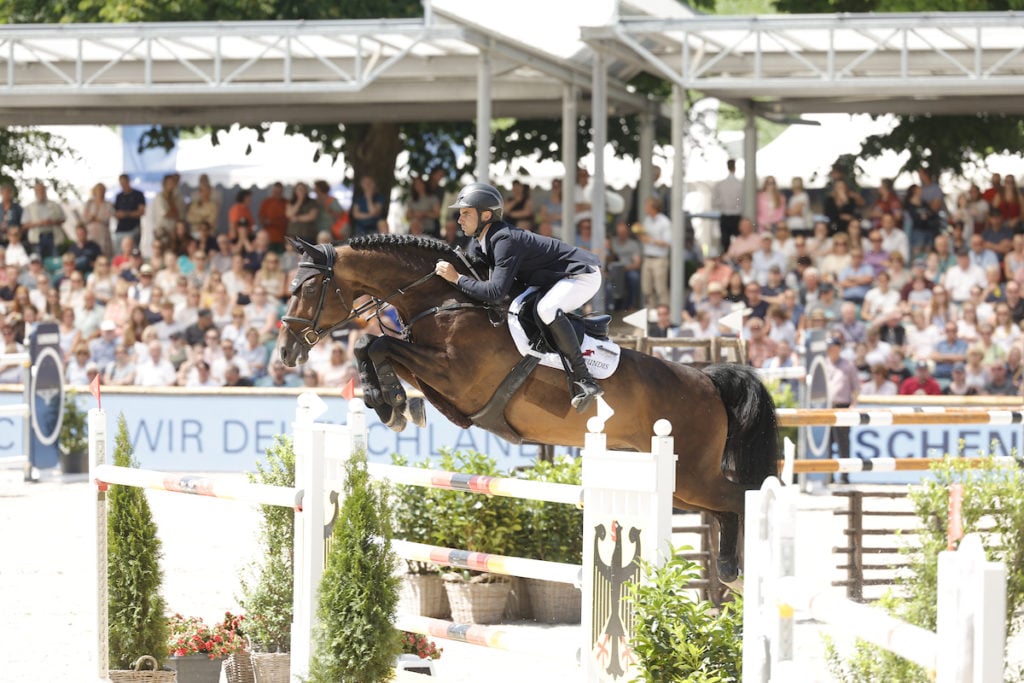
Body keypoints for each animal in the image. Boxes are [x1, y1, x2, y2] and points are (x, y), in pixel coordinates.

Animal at [276, 235, 778, 581]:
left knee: (740, 497)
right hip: (678, 486)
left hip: (692, 474)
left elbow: (374, 343)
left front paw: (392, 403)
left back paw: (744, 573)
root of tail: (707, 380)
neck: (442, 302)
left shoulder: (456, 375)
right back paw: (731, 572)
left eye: (307, 287)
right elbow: (377, 347)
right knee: (723, 510)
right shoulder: (444, 383)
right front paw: (394, 405)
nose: (285, 352)